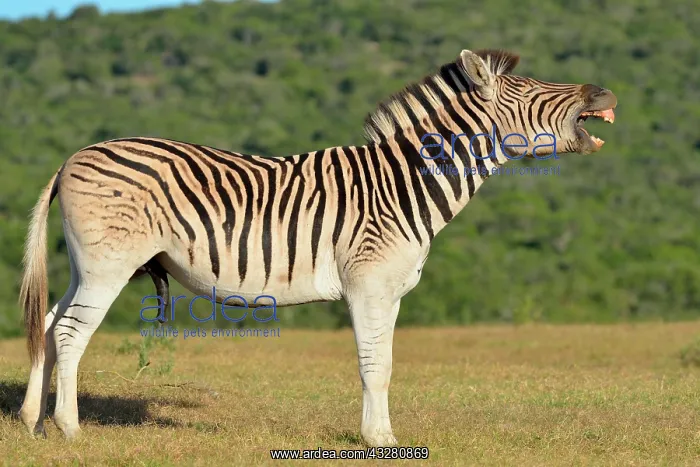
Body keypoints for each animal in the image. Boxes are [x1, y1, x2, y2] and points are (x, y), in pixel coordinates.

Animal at [18, 49, 616, 446]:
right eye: (534, 90)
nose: (606, 93)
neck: (404, 185)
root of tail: (72, 158)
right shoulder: (369, 284)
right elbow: (375, 365)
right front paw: (381, 442)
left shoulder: (390, 292)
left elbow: (385, 362)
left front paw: (380, 435)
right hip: (108, 265)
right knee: (70, 333)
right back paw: (69, 429)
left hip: (84, 265)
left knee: (48, 323)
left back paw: (32, 421)